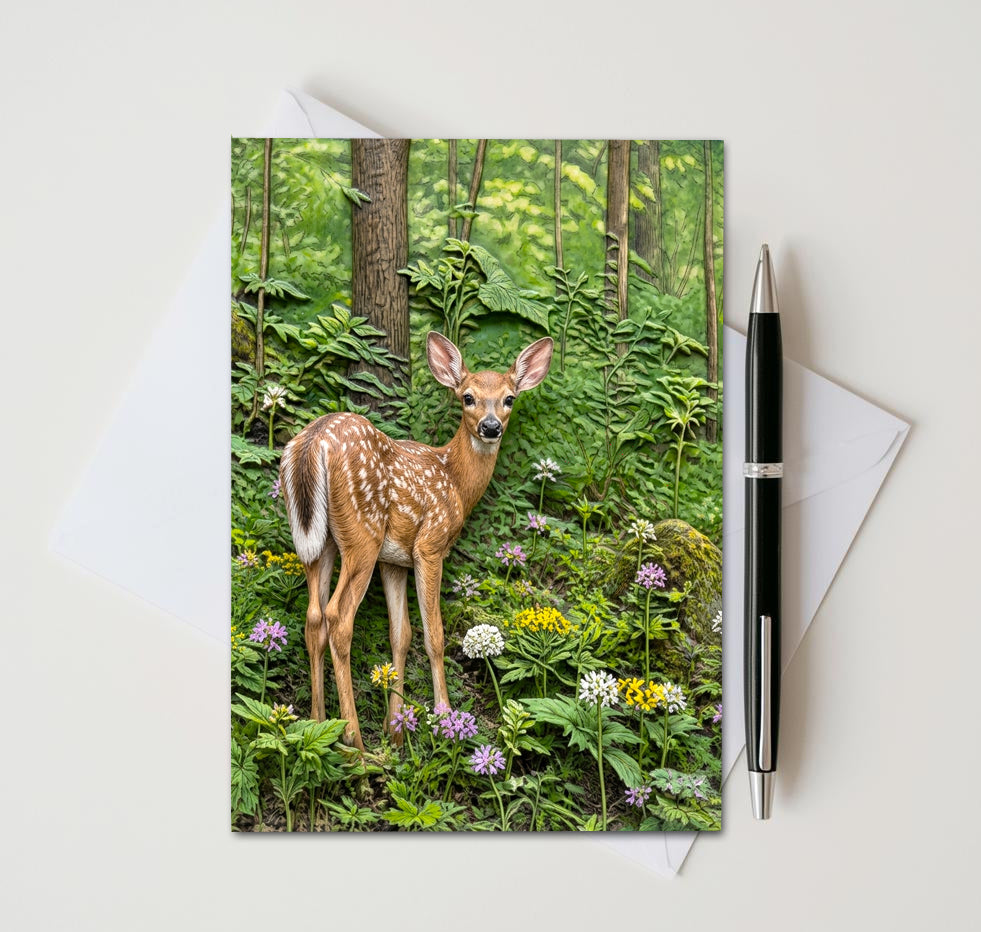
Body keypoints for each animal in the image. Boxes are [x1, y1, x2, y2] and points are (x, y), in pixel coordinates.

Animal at [279, 331, 553, 751]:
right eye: (467, 397)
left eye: (509, 398)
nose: (491, 427)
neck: (455, 482)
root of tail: (314, 441)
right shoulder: (429, 544)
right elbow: (434, 635)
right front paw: (444, 718)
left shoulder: (394, 560)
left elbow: (401, 635)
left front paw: (396, 729)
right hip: (362, 534)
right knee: (338, 617)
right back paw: (355, 741)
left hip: (318, 540)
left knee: (313, 617)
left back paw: (318, 723)